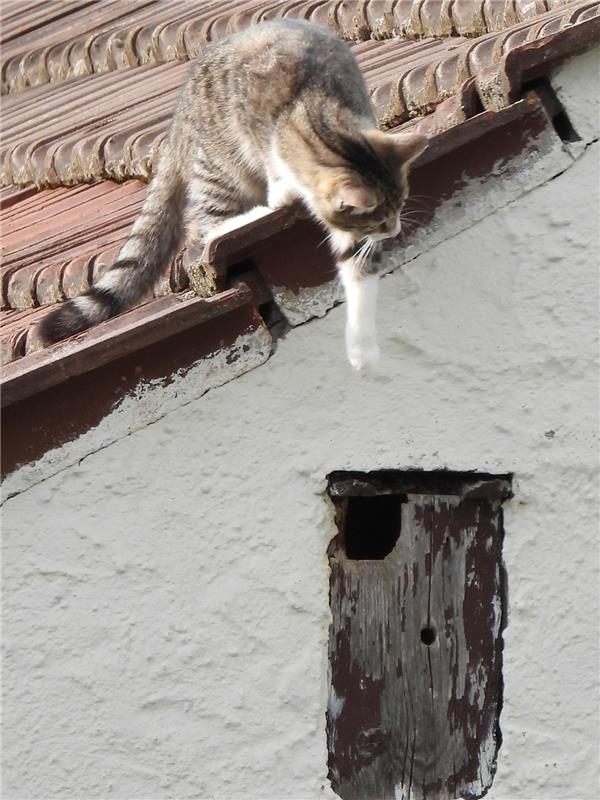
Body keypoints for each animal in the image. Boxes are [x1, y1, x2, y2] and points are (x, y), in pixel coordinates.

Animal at [39, 18, 424, 368]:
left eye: (399, 209)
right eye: (380, 222)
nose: (394, 230)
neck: (320, 124)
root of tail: (178, 117)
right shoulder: (256, 125)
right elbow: (273, 165)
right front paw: (281, 189)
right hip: (221, 170)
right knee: (201, 228)